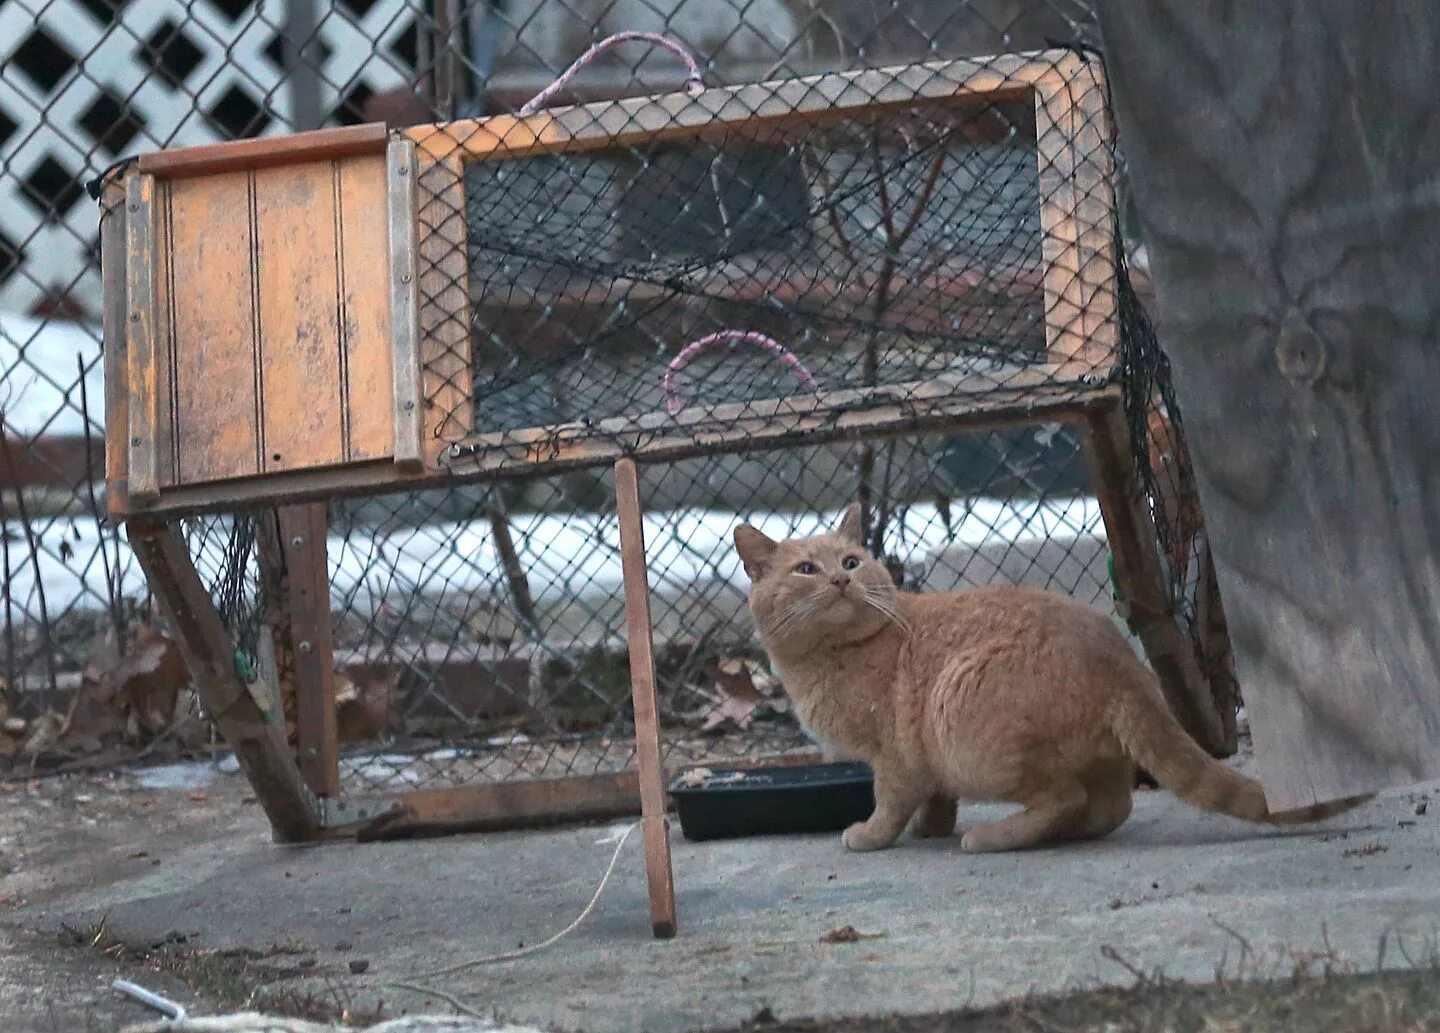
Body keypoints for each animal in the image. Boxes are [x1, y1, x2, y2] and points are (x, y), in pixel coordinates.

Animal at [737, 504, 1365, 852]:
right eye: (806, 569)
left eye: (849, 562)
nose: (841, 582)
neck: (838, 653)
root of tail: (1120, 661)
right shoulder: (923, 759)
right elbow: (935, 799)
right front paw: (931, 828)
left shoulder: (894, 754)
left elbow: (889, 802)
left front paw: (871, 835)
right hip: (1090, 756)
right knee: (1109, 809)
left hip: (972, 729)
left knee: (1066, 797)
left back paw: (993, 838)